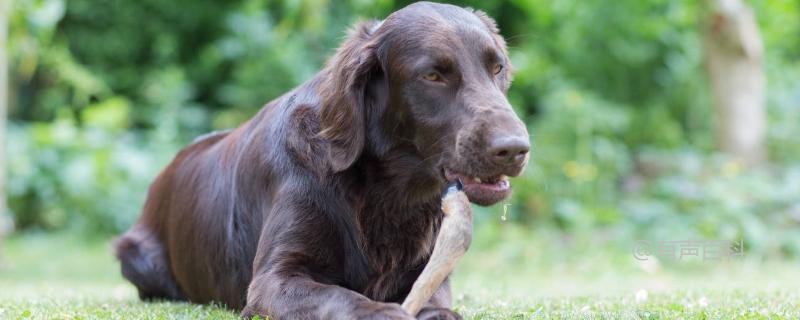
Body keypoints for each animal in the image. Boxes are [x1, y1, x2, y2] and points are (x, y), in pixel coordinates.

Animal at [117, 1, 532, 318]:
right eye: (432, 75)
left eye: (497, 68)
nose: (514, 148)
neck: (385, 195)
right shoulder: (273, 280)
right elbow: (343, 297)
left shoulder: (430, 271)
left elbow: (436, 299)